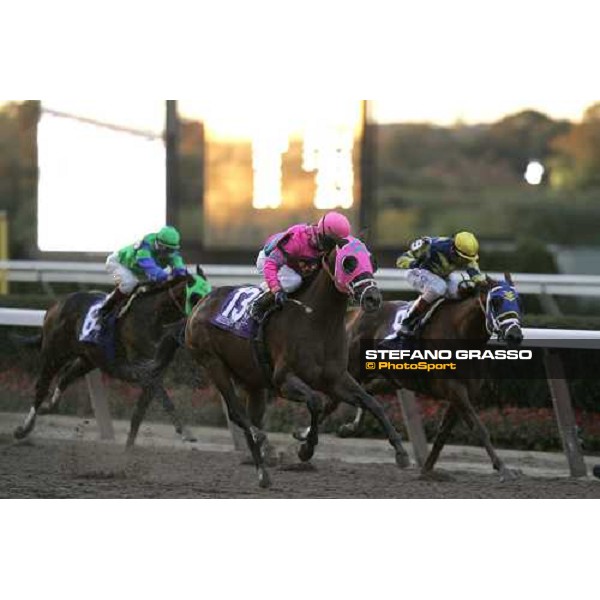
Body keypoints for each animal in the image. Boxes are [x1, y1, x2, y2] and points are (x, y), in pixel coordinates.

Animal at [14, 270, 211, 448]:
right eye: (196, 296)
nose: (204, 322)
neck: (154, 317)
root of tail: (56, 305)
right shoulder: (141, 369)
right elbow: (161, 398)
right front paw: (186, 432)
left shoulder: (154, 370)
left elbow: (141, 409)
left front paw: (130, 446)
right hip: (54, 353)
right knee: (42, 387)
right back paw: (24, 429)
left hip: (89, 358)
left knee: (65, 376)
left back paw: (48, 407)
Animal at [188, 234, 412, 488]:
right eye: (349, 263)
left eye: (372, 261)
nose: (373, 298)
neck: (317, 321)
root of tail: (202, 301)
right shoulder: (284, 381)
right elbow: (315, 401)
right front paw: (306, 448)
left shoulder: (336, 379)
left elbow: (371, 402)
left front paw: (401, 452)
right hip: (213, 364)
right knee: (237, 413)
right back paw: (260, 445)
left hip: (253, 381)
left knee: (251, 417)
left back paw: (263, 467)